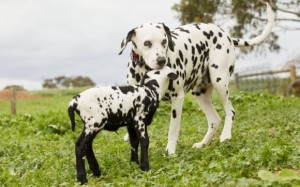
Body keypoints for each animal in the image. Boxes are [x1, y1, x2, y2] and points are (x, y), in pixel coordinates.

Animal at [119, 3, 274, 154]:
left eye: (164, 41)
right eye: (147, 43)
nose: (162, 60)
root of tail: (226, 35)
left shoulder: (177, 99)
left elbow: (173, 130)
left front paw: (170, 151)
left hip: (220, 82)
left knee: (230, 111)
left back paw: (225, 136)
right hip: (200, 94)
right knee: (215, 120)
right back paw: (202, 144)